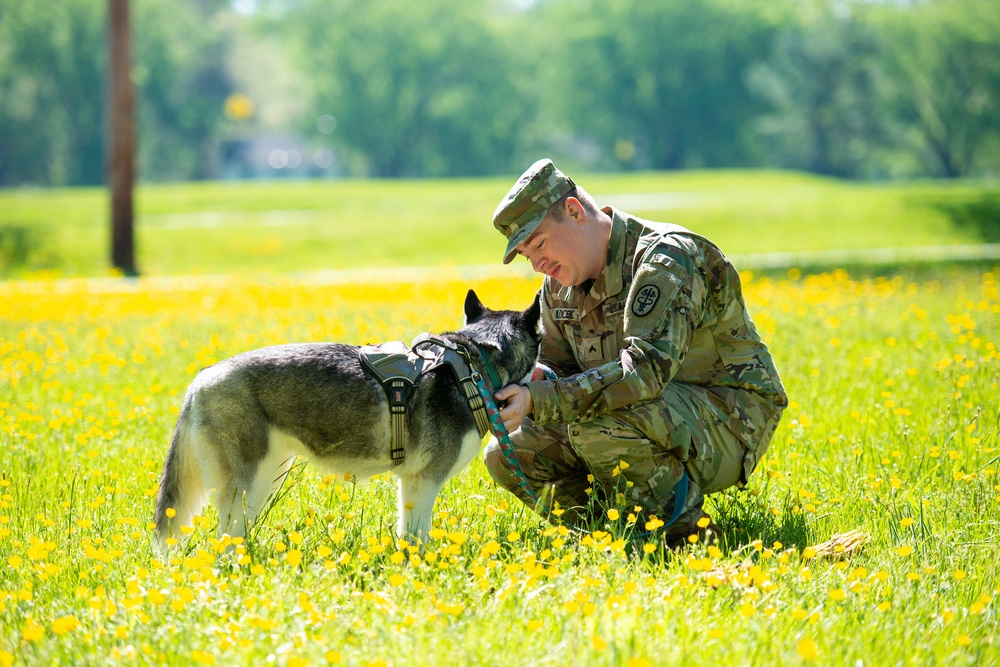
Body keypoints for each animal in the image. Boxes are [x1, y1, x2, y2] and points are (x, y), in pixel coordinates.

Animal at [154, 290, 540, 552]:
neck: (473, 366)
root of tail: (200, 380)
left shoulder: (410, 484)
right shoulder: (424, 481)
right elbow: (418, 537)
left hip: (267, 477)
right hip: (247, 486)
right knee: (225, 541)